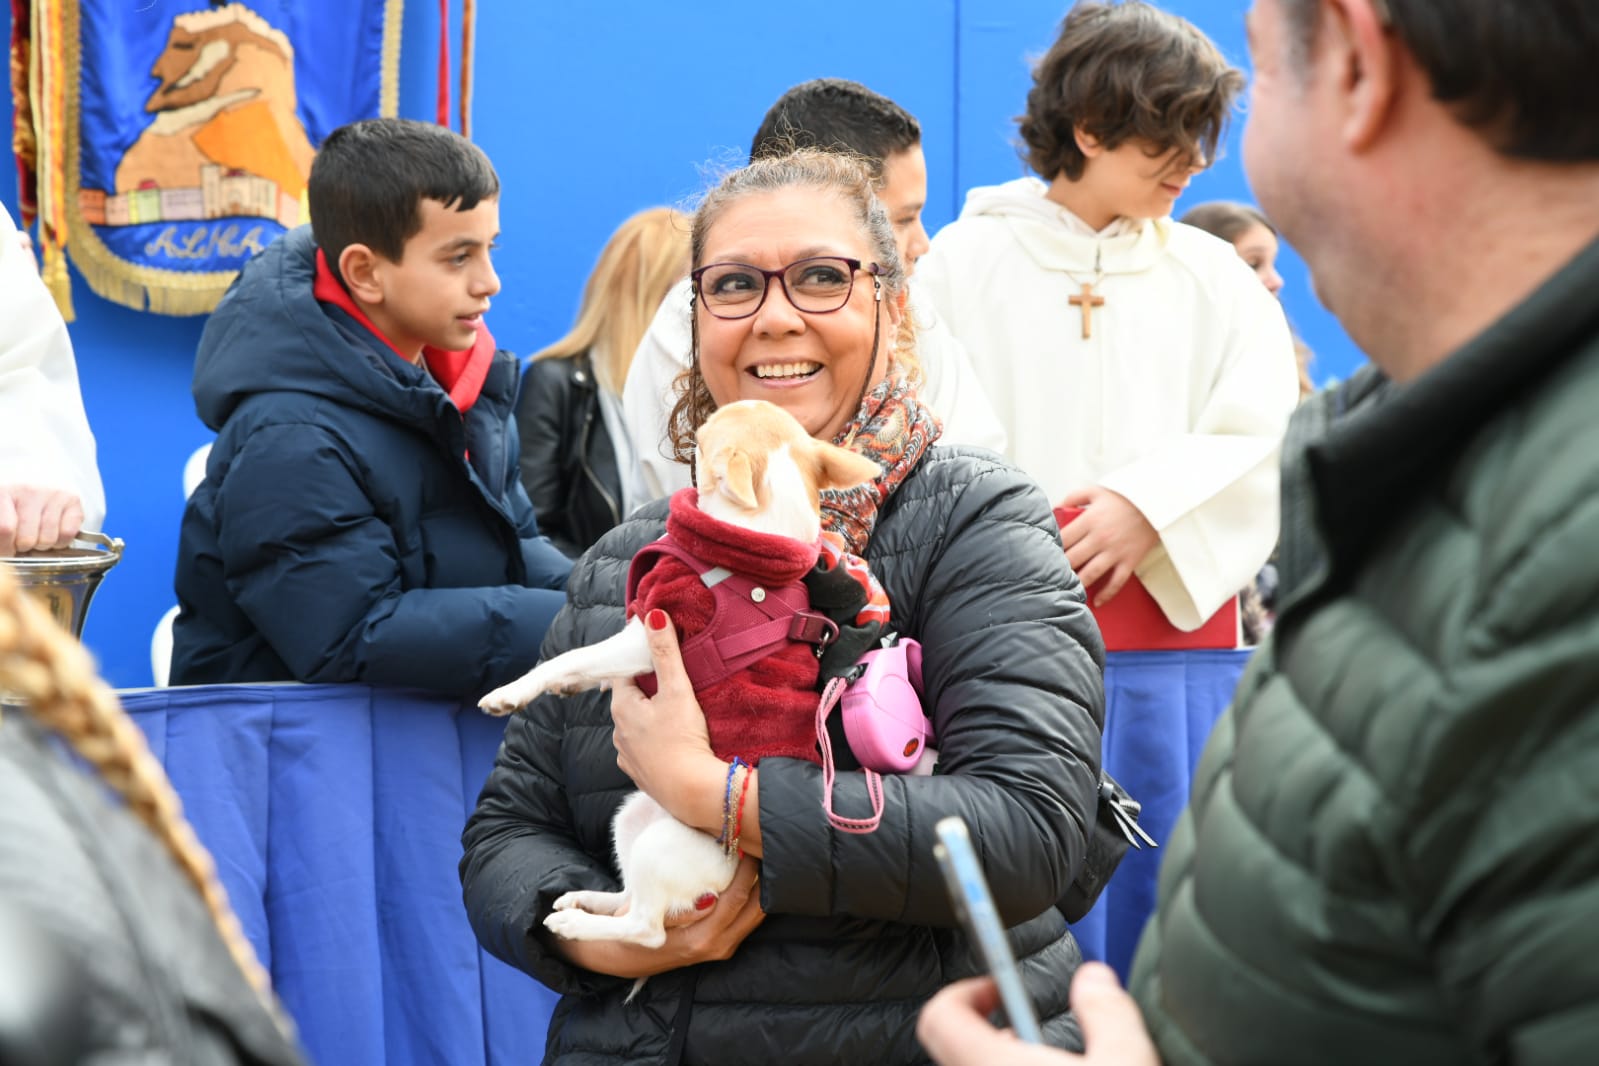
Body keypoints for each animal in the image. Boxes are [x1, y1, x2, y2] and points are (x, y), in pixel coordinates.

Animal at [476, 399, 876, 952]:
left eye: (705, 437)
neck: (757, 545)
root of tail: (744, 859)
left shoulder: (651, 631)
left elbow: (573, 657)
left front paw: (513, 691)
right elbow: (585, 664)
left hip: (662, 846)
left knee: (647, 929)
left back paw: (578, 925)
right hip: (631, 818)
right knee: (632, 901)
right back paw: (586, 901)